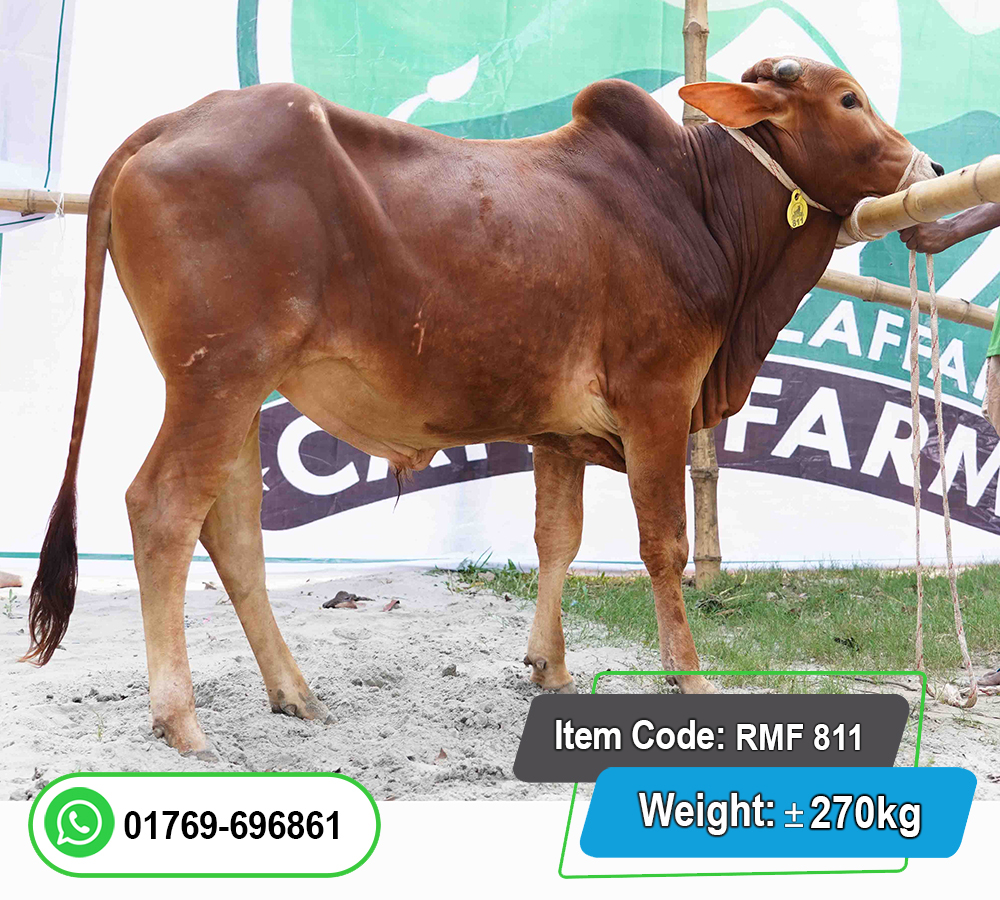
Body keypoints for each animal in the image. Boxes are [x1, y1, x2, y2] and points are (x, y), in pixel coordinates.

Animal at [24, 57, 940, 758]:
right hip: (214, 381)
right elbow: (664, 549)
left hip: (241, 393)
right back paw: (180, 719)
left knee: (234, 526)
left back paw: (293, 693)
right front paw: (691, 679)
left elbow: (557, 539)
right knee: (163, 510)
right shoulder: (656, 399)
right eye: (848, 99)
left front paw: (551, 667)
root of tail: (171, 124)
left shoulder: (559, 431)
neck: (698, 203)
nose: (930, 171)